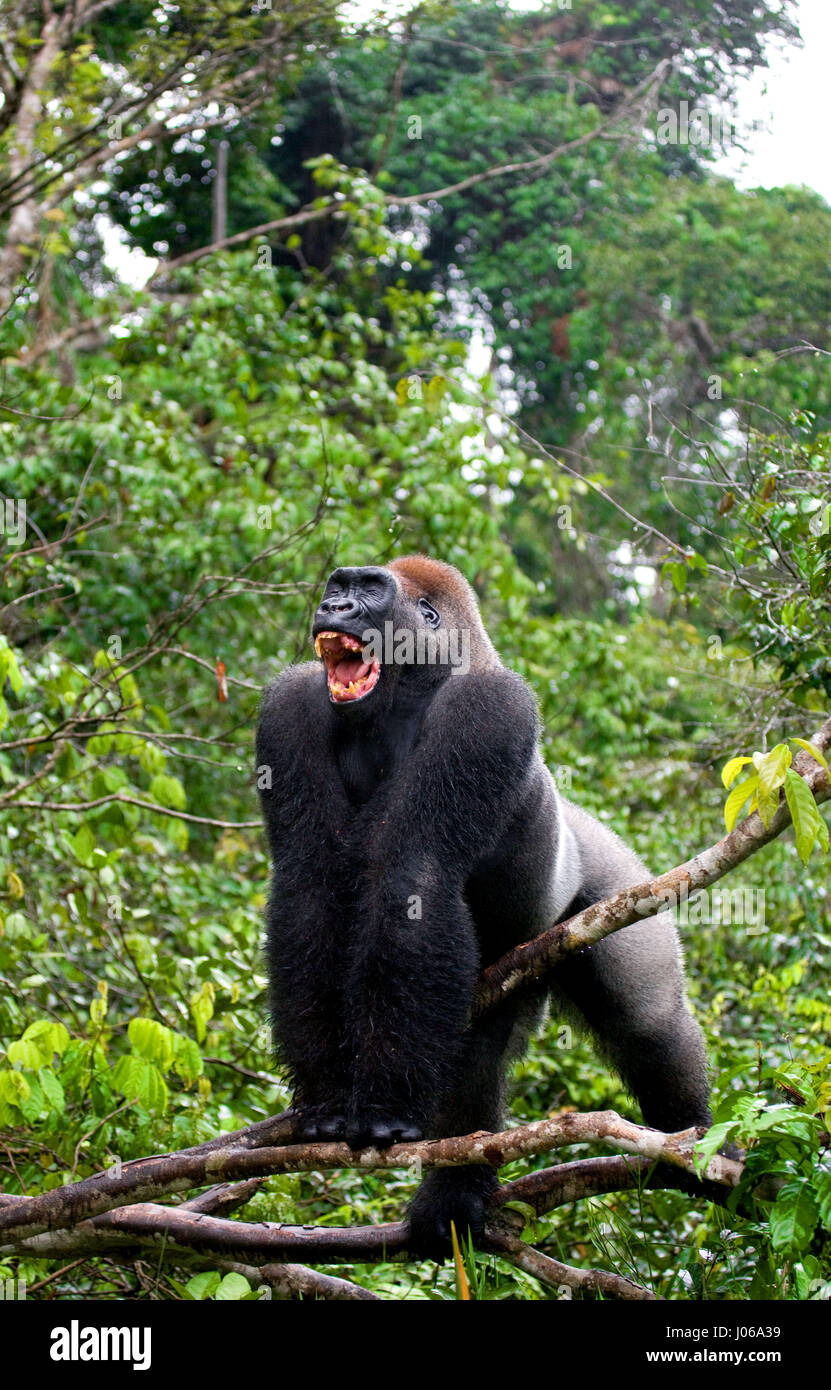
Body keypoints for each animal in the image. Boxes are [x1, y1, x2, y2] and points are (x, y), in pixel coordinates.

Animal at [256, 555, 712, 1257]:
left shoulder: (488, 711)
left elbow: (416, 876)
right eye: (338, 587)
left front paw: (382, 1110)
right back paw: (454, 1198)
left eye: (369, 592)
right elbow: (309, 890)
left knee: (647, 1024)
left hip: (615, 885)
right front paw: (329, 1099)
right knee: (476, 1057)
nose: (333, 608)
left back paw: (695, 1143)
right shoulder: (291, 706)